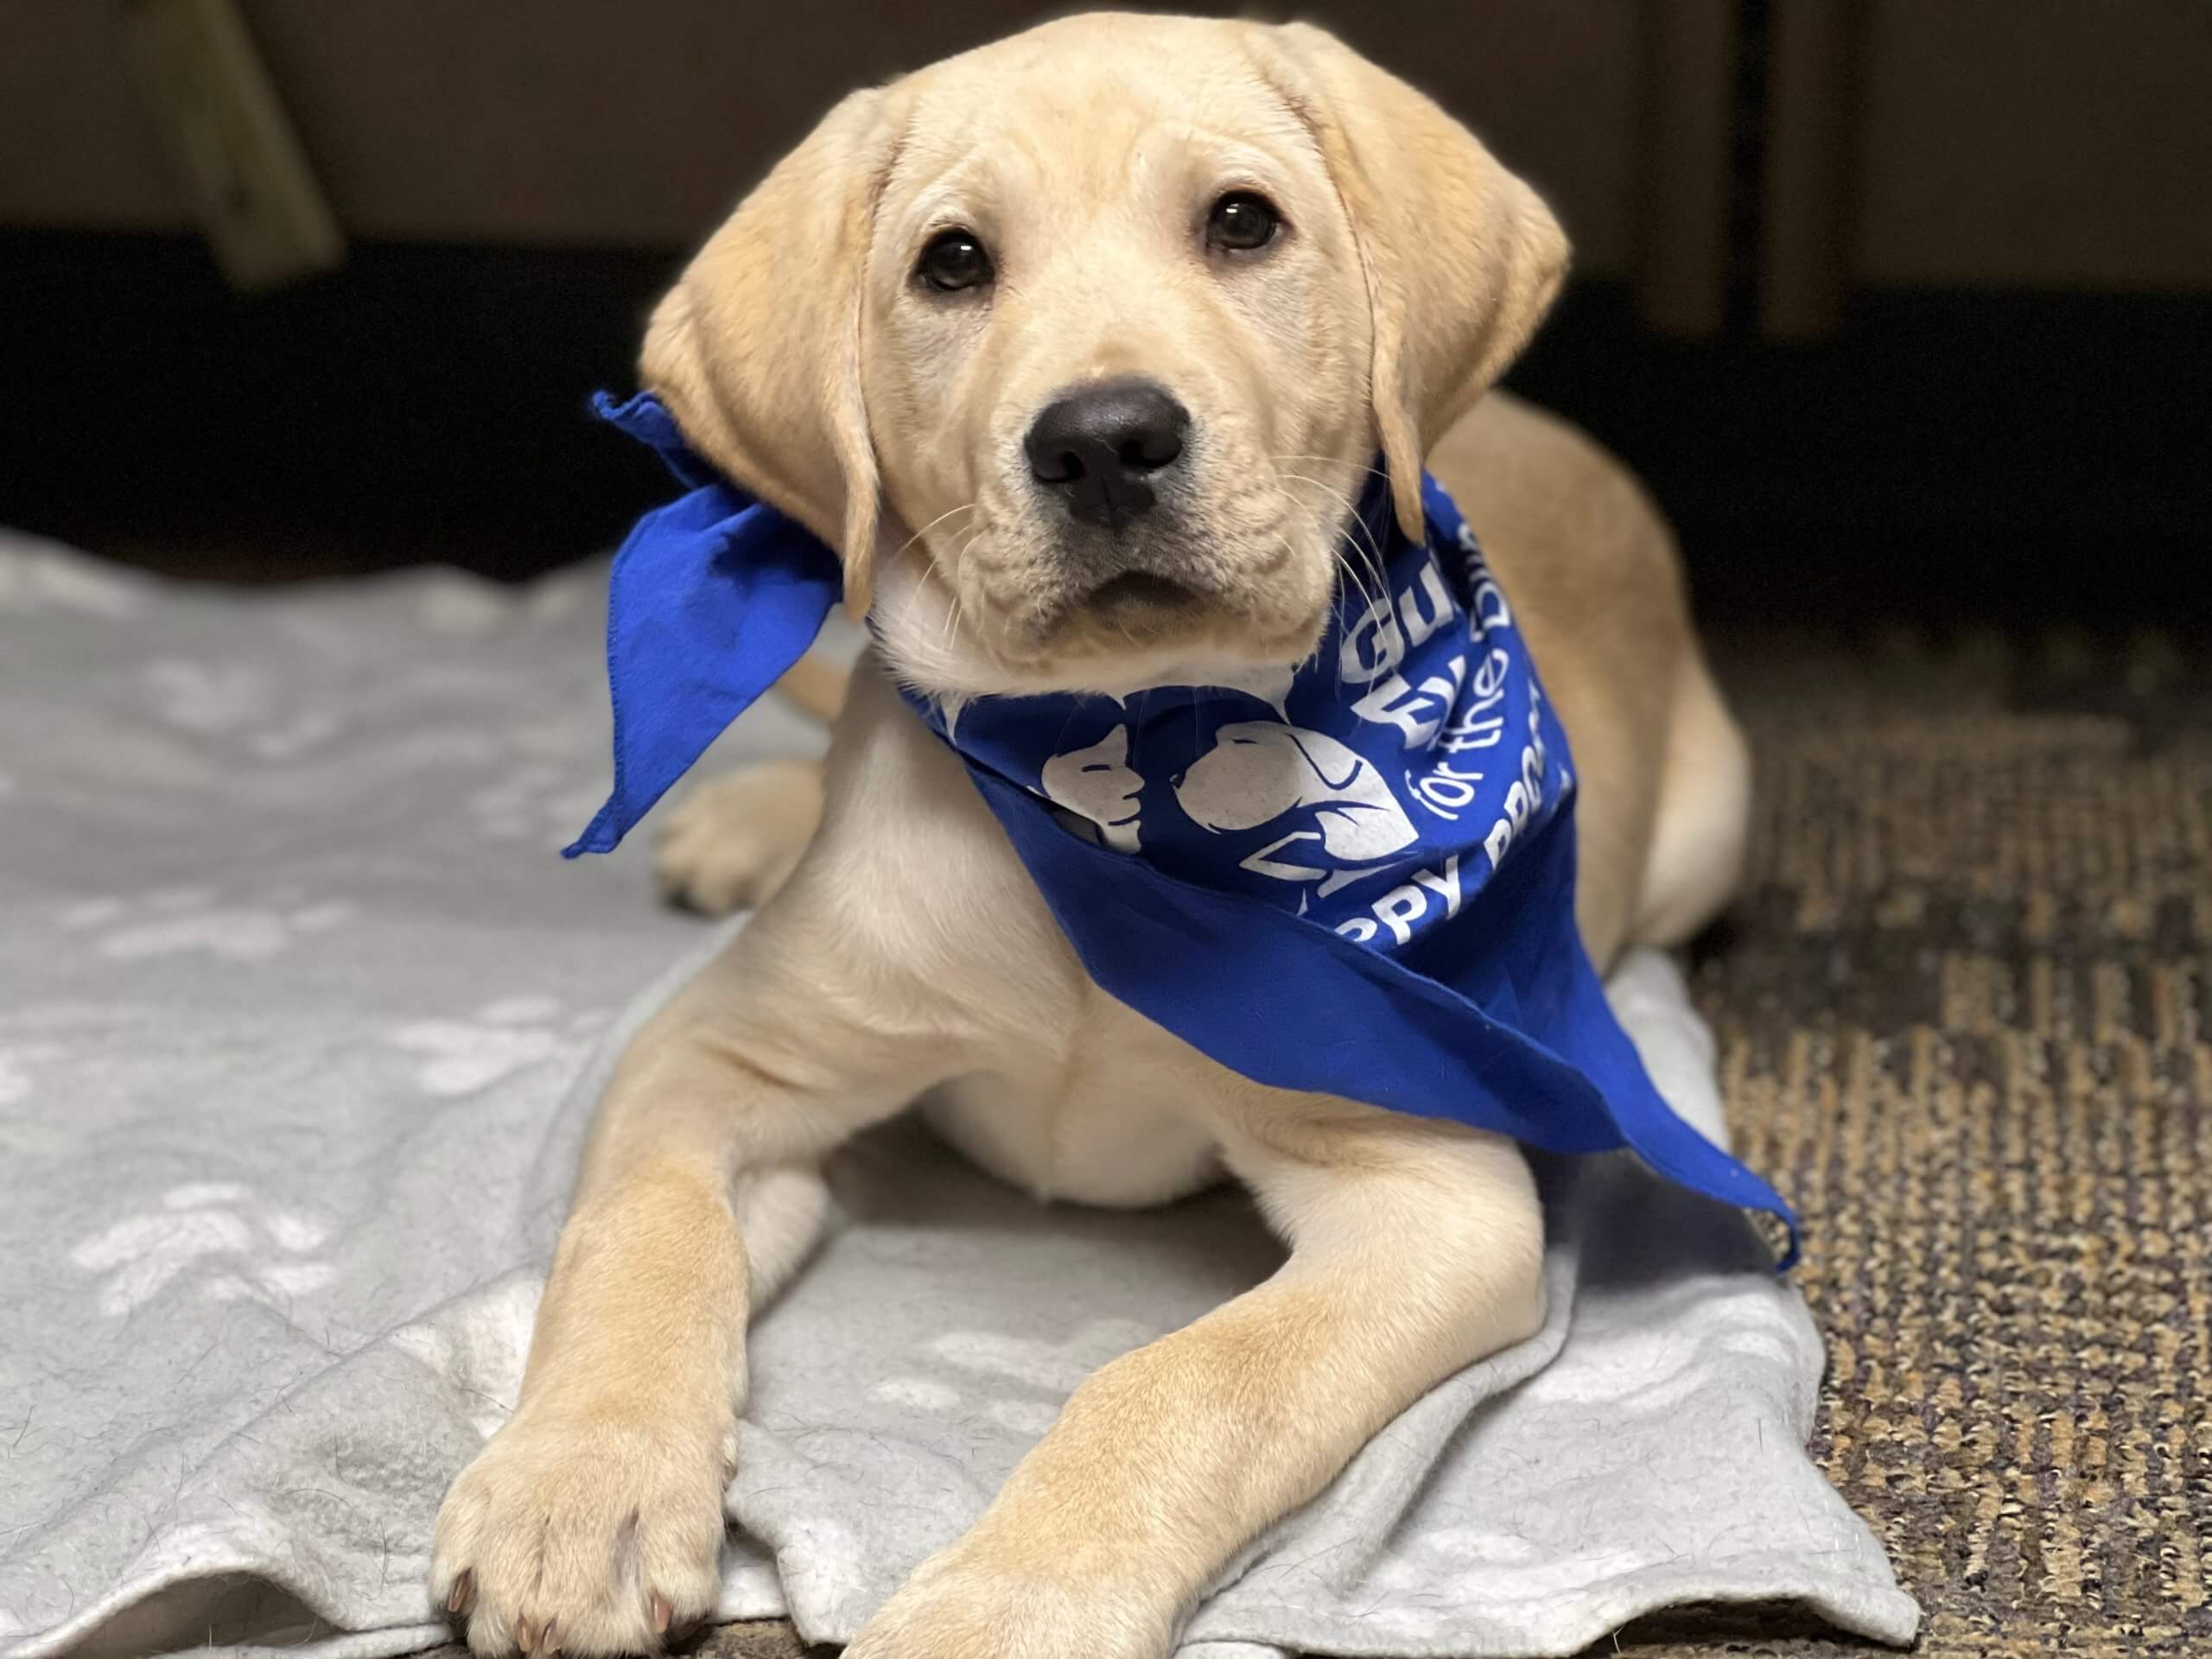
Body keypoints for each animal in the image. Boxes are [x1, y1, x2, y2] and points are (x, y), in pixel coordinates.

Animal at [431, 16, 1743, 1659]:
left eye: (1243, 223)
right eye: (952, 263)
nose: (1106, 440)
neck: (1108, 783)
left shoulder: (1427, 1195)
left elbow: (1187, 1382)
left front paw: (1006, 1603)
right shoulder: (715, 1061)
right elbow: (639, 1237)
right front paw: (578, 1481)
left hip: (1711, 831)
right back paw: (744, 821)